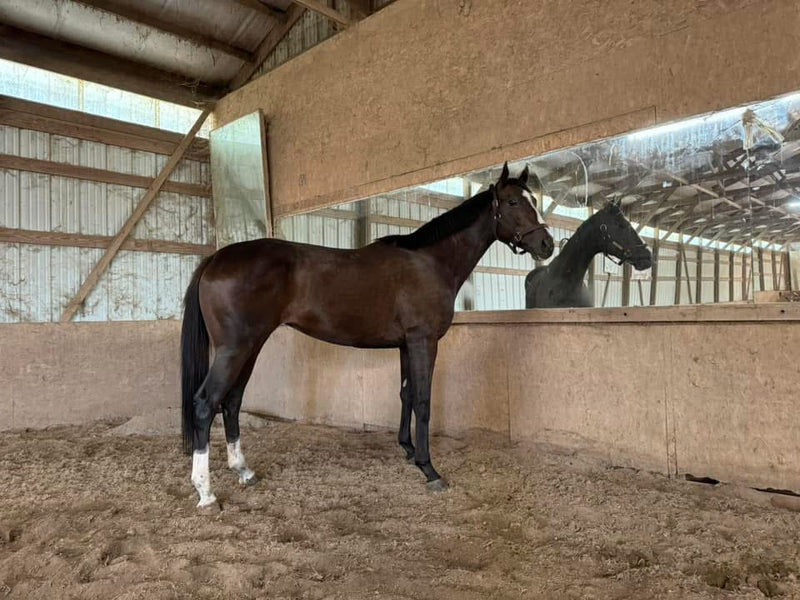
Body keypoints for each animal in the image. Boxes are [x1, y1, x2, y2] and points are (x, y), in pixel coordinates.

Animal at [181, 162, 555, 507]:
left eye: (534, 200)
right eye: (512, 202)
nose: (547, 244)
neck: (430, 262)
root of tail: (216, 258)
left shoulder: (406, 345)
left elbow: (406, 394)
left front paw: (408, 449)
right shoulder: (424, 341)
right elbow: (423, 400)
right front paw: (429, 469)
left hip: (251, 346)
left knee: (231, 401)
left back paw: (243, 470)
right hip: (235, 348)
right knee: (205, 403)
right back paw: (206, 493)